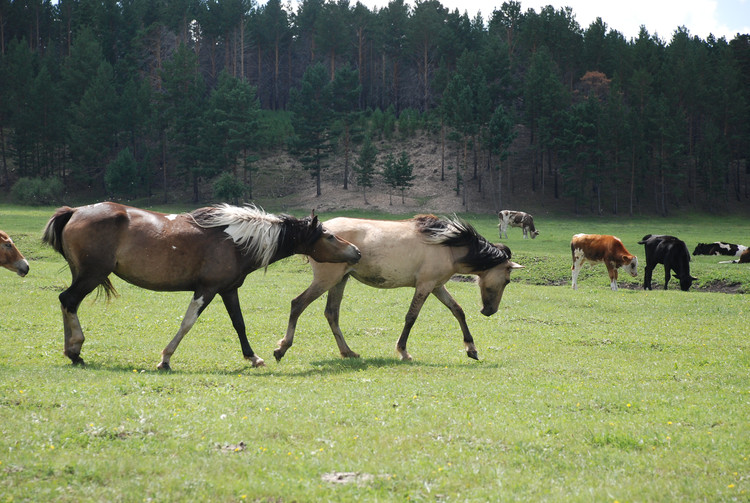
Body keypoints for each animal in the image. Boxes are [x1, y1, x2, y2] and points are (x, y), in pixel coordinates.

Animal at [42, 203, 362, 372]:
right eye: (329, 236)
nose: (357, 252)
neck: (235, 240)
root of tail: (74, 211)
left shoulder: (228, 290)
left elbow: (239, 324)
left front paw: (253, 357)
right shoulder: (206, 290)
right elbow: (187, 323)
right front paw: (165, 359)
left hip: (85, 275)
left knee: (66, 302)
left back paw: (72, 350)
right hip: (91, 275)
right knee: (68, 300)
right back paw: (75, 349)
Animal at [274, 215, 524, 364]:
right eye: (507, 281)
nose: (489, 311)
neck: (448, 246)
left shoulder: (437, 286)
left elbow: (458, 311)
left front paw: (471, 349)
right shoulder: (424, 286)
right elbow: (411, 317)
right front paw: (403, 351)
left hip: (340, 280)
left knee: (331, 314)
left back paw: (348, 352)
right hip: (327, 280)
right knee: (298, 304)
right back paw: (282, 348)